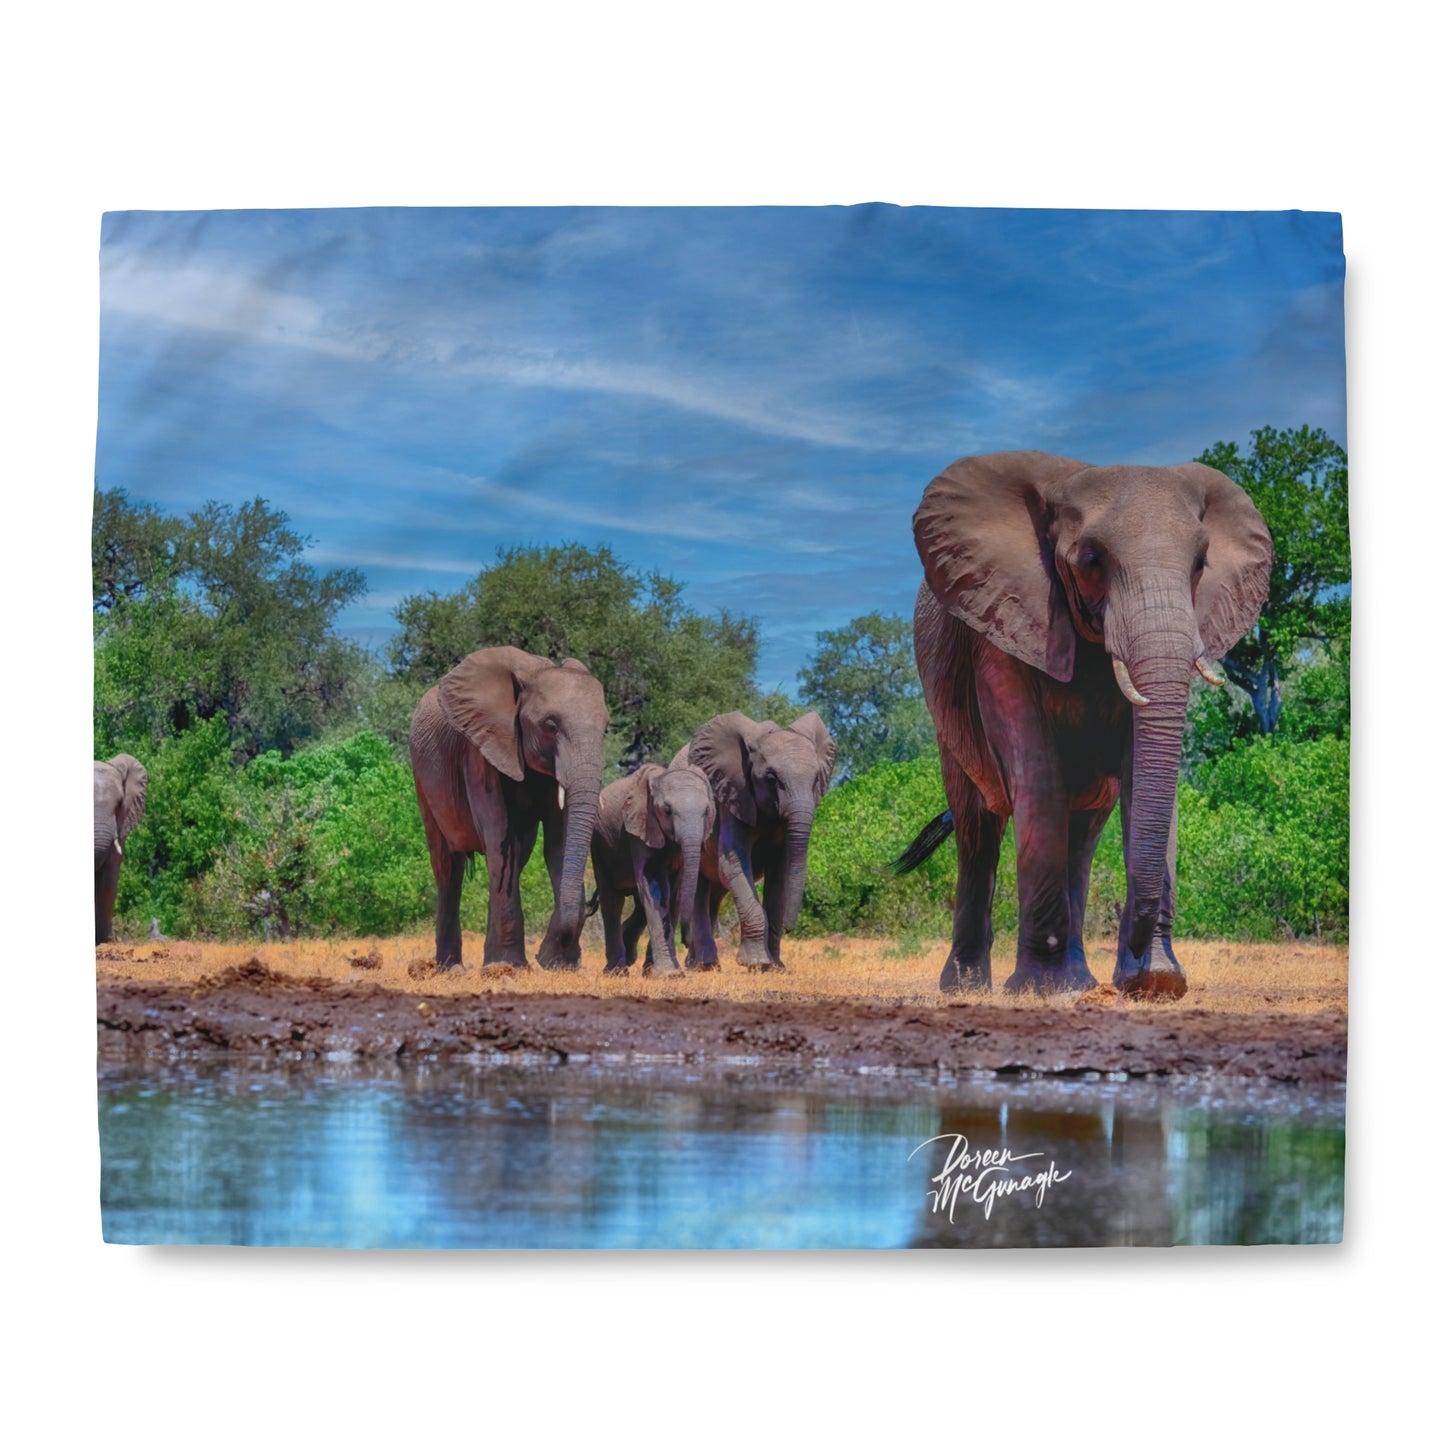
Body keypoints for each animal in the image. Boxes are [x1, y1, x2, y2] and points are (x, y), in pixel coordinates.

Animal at [409, 646, 608, 970]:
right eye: (550, 726)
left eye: (606, 730)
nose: (543, 956)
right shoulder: (480, 750)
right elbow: (498, 833)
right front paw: (511, 966)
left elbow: (558, 844)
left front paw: (556, 963)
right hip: (422, 776)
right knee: (448, 866)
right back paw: (451, 968)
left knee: (515, 856)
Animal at [590, 762, 716, 977]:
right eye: (667, 810)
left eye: (707, 811)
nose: (687, 941)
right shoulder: (640, 826)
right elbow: (655, 885)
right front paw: (669, 975)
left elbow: (674, 893)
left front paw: (666, 973)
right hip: (599, 845)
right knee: (612, 900)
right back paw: (617, 972)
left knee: (639, 904)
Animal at [673, 711, 836, 971]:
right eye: (771, 778)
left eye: (816, 780)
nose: (790, 928)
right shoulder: (733, 796)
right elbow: (733, 863)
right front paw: (756, 963)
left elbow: (780, 873)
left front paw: (775, 967)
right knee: (699, 887)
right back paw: (705, 965)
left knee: (714, 892)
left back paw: (699, 964)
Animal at [901, 450, 1271, 998]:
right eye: (1091, 561)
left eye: (1201, 564)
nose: (1139, 972)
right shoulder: (1002, 621)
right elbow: (1036, 770)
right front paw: (1042, 989)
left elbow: (1142, 773)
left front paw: (1156, 980)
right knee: (978, 827)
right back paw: (968, 988)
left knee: (1082, 833)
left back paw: (1079, 979)